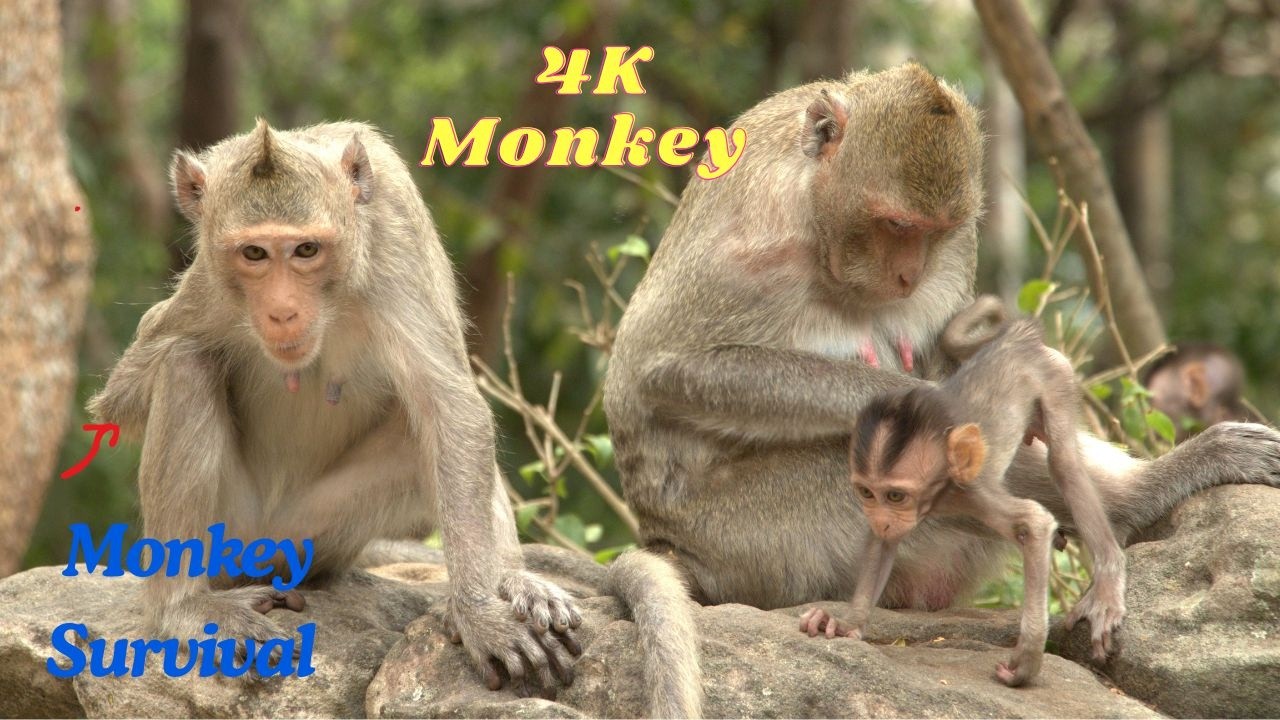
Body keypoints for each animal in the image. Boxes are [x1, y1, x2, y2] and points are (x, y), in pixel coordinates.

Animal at [88, 120, 701, 713]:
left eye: (306, 249)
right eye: (254, 254)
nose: (282, 312)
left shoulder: (395, 232)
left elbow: (450, 407)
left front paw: (479, 611)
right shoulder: (209, 286)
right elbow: (124, 395)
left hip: (313, 534)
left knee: (424, 435)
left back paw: (505, 579)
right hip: (231, 532)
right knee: (186, 365)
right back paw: (182, 607)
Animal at [800, 298, 1128, 684]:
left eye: (895, 496)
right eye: (867, 493)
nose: (881, 519)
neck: (941, 488)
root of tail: (1016, 337)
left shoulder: (975, 495)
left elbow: (1034, 524)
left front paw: (1027, 659)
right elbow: (884, 544)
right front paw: (846, 622)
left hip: (1054, 373)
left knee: (1063, 463)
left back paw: (1106, 581)